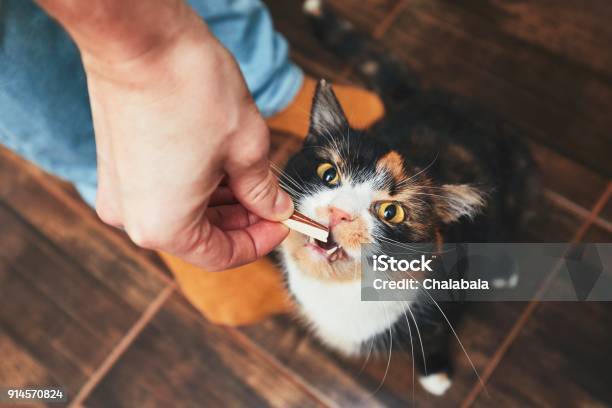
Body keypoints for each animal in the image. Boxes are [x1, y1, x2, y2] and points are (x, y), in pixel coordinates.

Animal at [278, 0, 536, 396]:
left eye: (391, 212)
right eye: (328, 174)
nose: (339, 213)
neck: (340, 290)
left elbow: (433, 334)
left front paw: (437, 373)